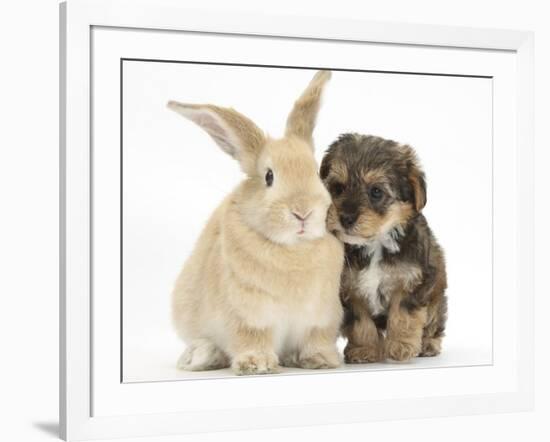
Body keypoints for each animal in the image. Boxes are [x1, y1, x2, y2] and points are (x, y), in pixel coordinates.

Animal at [169, 71, 344, 374]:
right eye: (269, 176)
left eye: (315, 172)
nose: (303, 212)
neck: (293, 249)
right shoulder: (248, 315)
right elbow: (252, 337)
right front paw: (257, 364)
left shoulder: (321, 317)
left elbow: (316, 338)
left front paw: (319, 360)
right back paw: (200, 356)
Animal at [324, 133, 448, 360]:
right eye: (338, 188)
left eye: (376, 192)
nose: (346, 218)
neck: (375, 242)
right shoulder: (349, 289)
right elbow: (360, 322)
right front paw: (364, 349)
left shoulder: (413, 280)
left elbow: (403, 313)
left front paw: (401, 345)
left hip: (436, 297)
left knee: (434, 322)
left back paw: (428, 344)